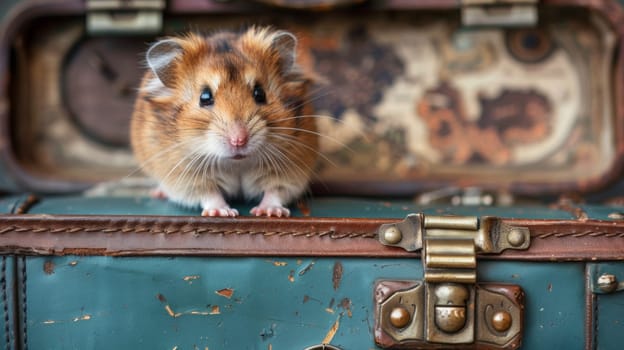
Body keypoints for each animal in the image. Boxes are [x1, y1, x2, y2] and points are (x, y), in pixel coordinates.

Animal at [130, 27, 320, 217]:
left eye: (260, 93)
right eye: (204, 97)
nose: (239, 141)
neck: (237, 163)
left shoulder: (291, 169)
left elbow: (274, 191)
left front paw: (270, 212)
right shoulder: (186, 177)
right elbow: (209, 193)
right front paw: (222, 212)